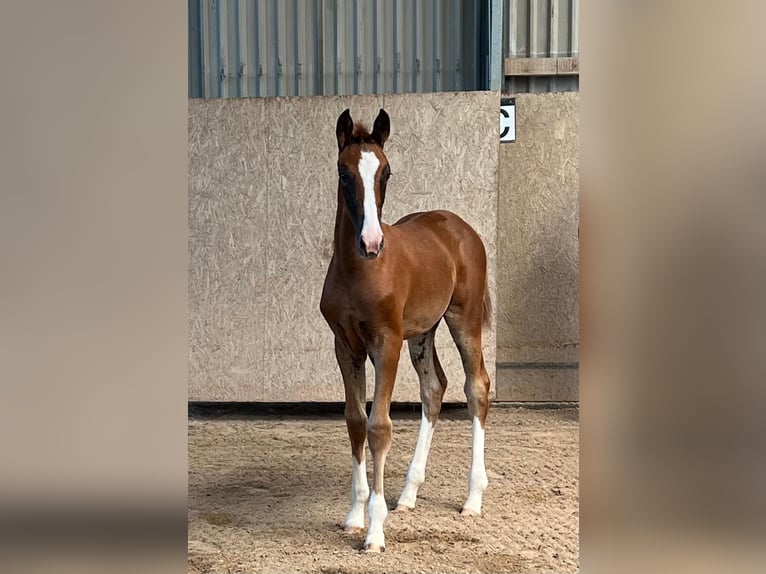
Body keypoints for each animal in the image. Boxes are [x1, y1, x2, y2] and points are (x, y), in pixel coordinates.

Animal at [320, 108, 496, 552]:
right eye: (344, 172)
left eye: (386, 172)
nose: (371, 242)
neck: (359, 270)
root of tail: (458, 225)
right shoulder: (345, 346)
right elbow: (355, 420)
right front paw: (354, 516)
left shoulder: (387, 342)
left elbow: (379, 426)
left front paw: (375, 532)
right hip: (422, 332)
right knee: (434, 387)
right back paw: (408, 494)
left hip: (463, 318)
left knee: (477, 386)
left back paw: (472, 499)